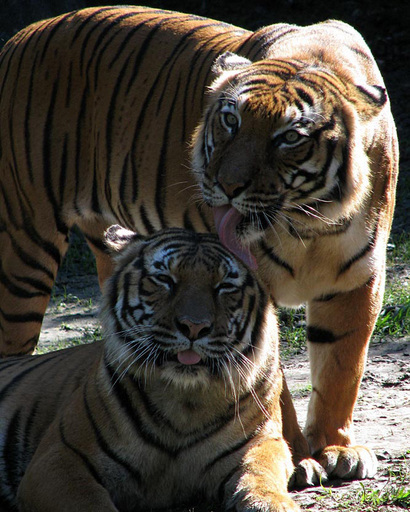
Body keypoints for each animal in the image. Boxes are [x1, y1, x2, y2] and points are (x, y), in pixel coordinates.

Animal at [0, 228, 298, 512]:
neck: (185, 402)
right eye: (165, 279)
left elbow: (260, 474)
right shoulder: (59, 457)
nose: (194, 326)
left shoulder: (263, 441)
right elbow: (89, 503)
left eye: (224, 286)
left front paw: (273, 503)